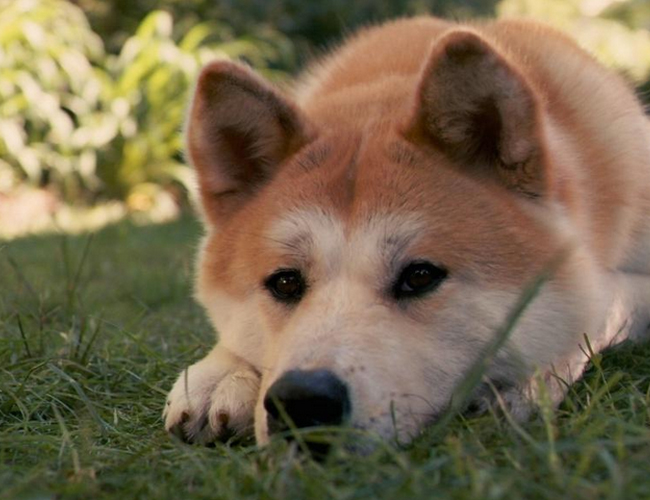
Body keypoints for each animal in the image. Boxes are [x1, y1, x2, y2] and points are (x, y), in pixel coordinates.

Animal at [165, 17, 648, 448]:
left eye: (419, 276)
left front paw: (530, 377)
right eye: (284, 282)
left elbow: (600, 308)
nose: (303, 400)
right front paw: (222, 374)